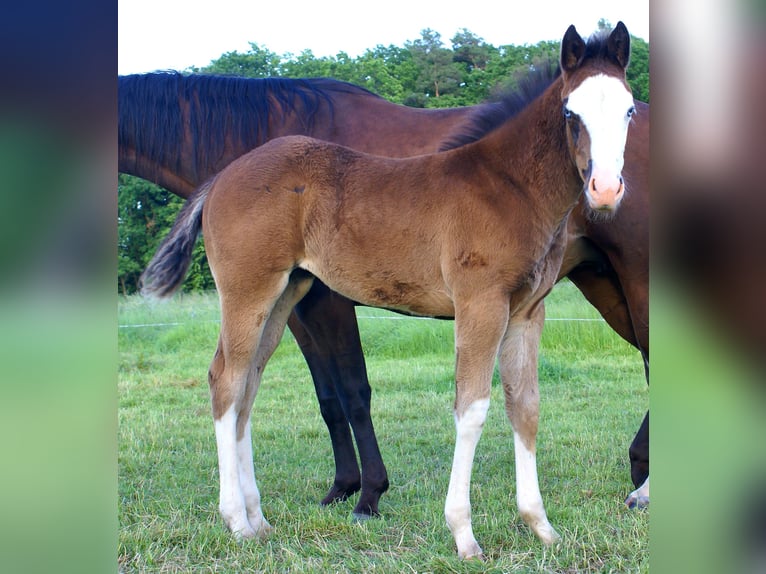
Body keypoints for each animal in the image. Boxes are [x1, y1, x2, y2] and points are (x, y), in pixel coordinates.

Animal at [140, 23, 637, 558]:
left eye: (630, 110)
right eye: (570, 112)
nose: (605, 189)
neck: (509, 186)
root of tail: (221, 177)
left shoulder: (527, 312)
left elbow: (525, 407)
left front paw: (540, 525)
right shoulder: (480, 304)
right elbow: (472, 409)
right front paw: (463, 534)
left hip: (285, 294)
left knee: (248, 385)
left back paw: (258, 518)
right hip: (247, 291)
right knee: (226, 382)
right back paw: (235, 520)